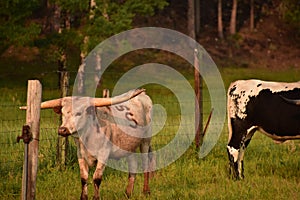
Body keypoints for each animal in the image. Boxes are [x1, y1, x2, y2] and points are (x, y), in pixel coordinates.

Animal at [20, 89, 155, 200]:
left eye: (79, 113)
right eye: (62, 113)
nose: (62, 130)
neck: (87, 136)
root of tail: (144, 96)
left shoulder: (103, 154)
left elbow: (96, 178)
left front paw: (96, 198)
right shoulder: (80, 154)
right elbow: (84, 177)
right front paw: (83, 197)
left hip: (145, 141)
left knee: (145, 165)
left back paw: (146, 191)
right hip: (128, 146)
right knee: (133, 166)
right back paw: (127, 193)